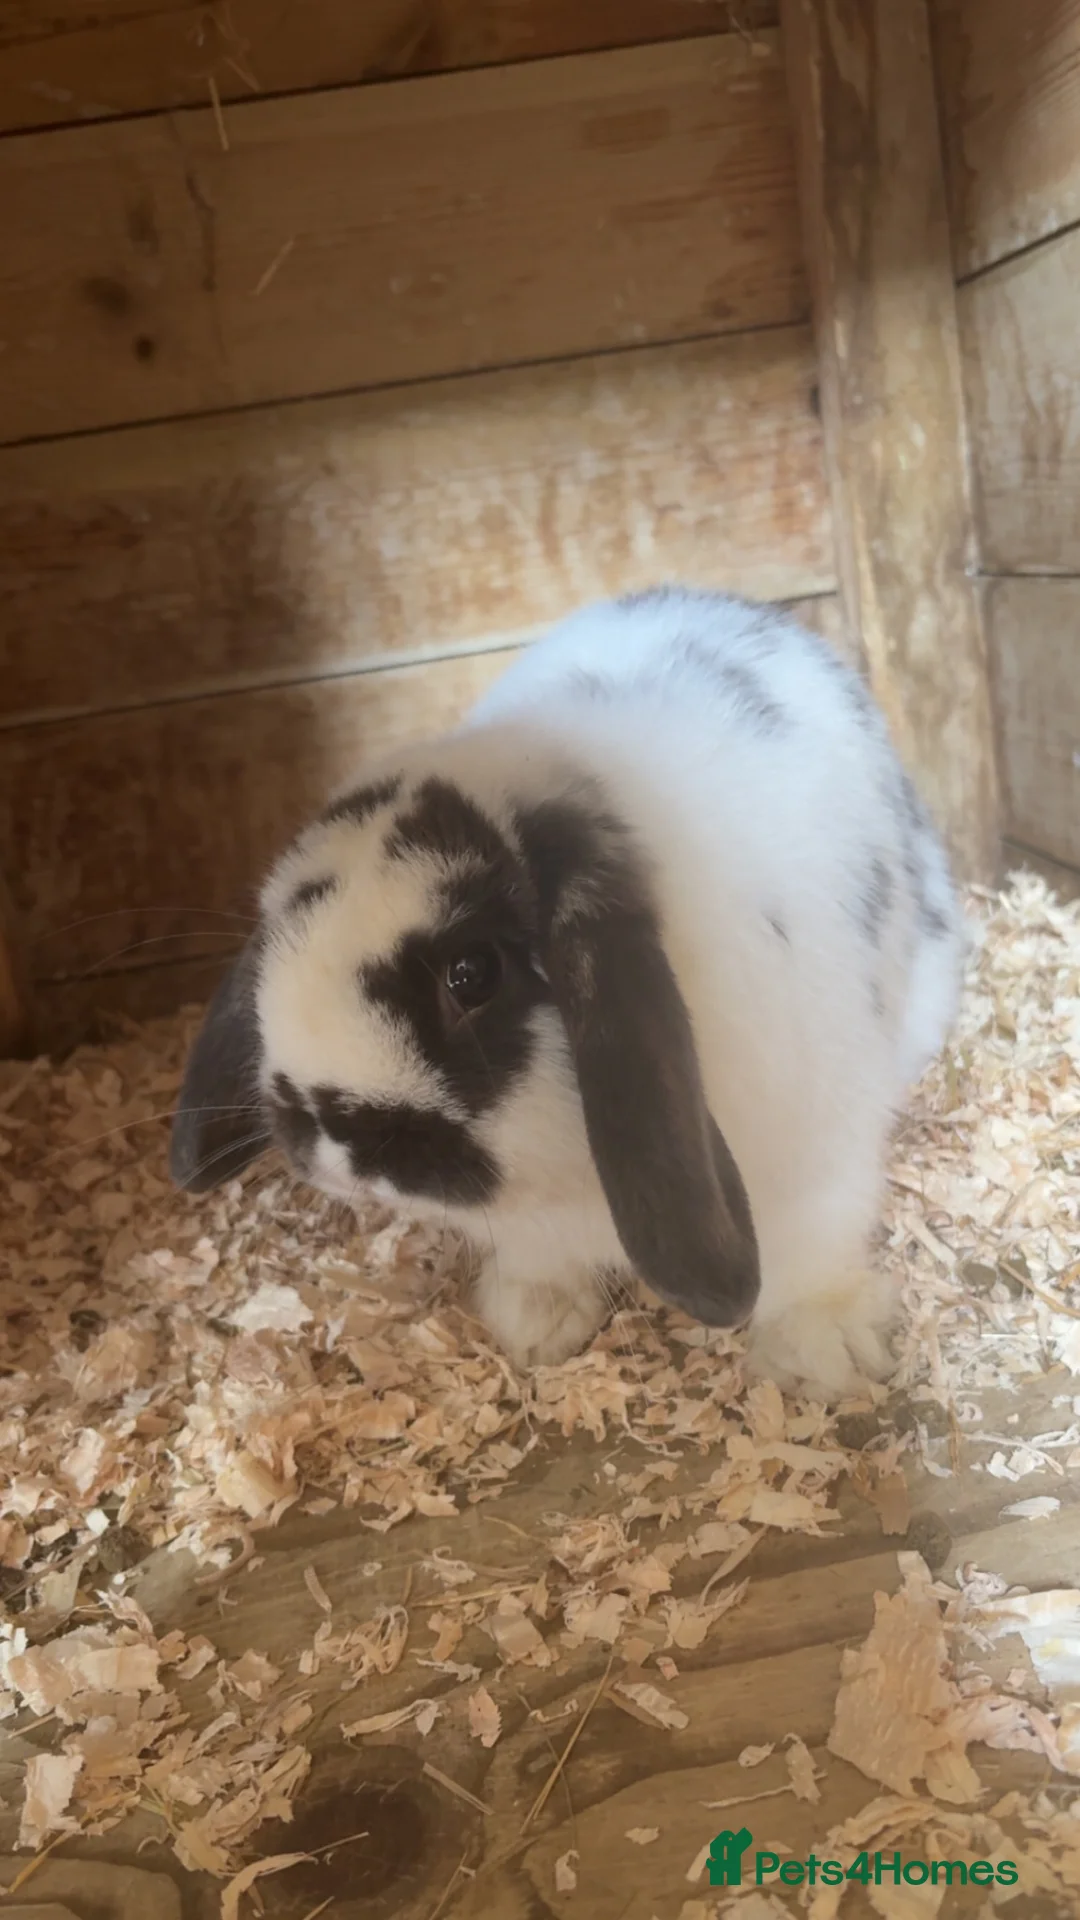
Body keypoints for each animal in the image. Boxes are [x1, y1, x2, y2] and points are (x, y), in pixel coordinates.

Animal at [170, 588, 965, 1401]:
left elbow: (813, 1246)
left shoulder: (821, 1151)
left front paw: (823, 1352)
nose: (327, 1137)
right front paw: (535, 1322)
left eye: (472, 973)